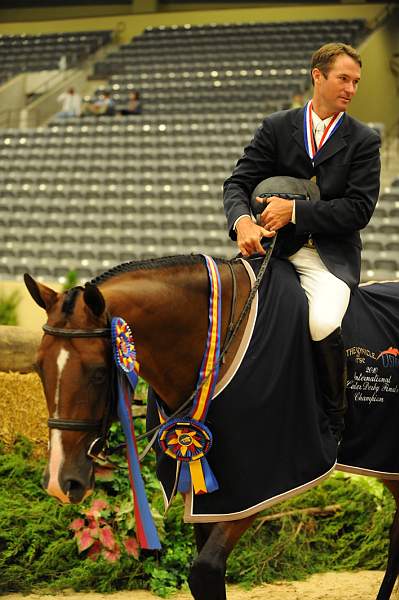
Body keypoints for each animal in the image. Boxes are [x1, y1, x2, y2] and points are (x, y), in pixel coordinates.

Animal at [24, 250, 399, 600]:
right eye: (39, 367)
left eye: (99, 373)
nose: (59, 482)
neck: (219, 339)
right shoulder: (204, 487)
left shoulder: (251, 487)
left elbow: (205, 571)